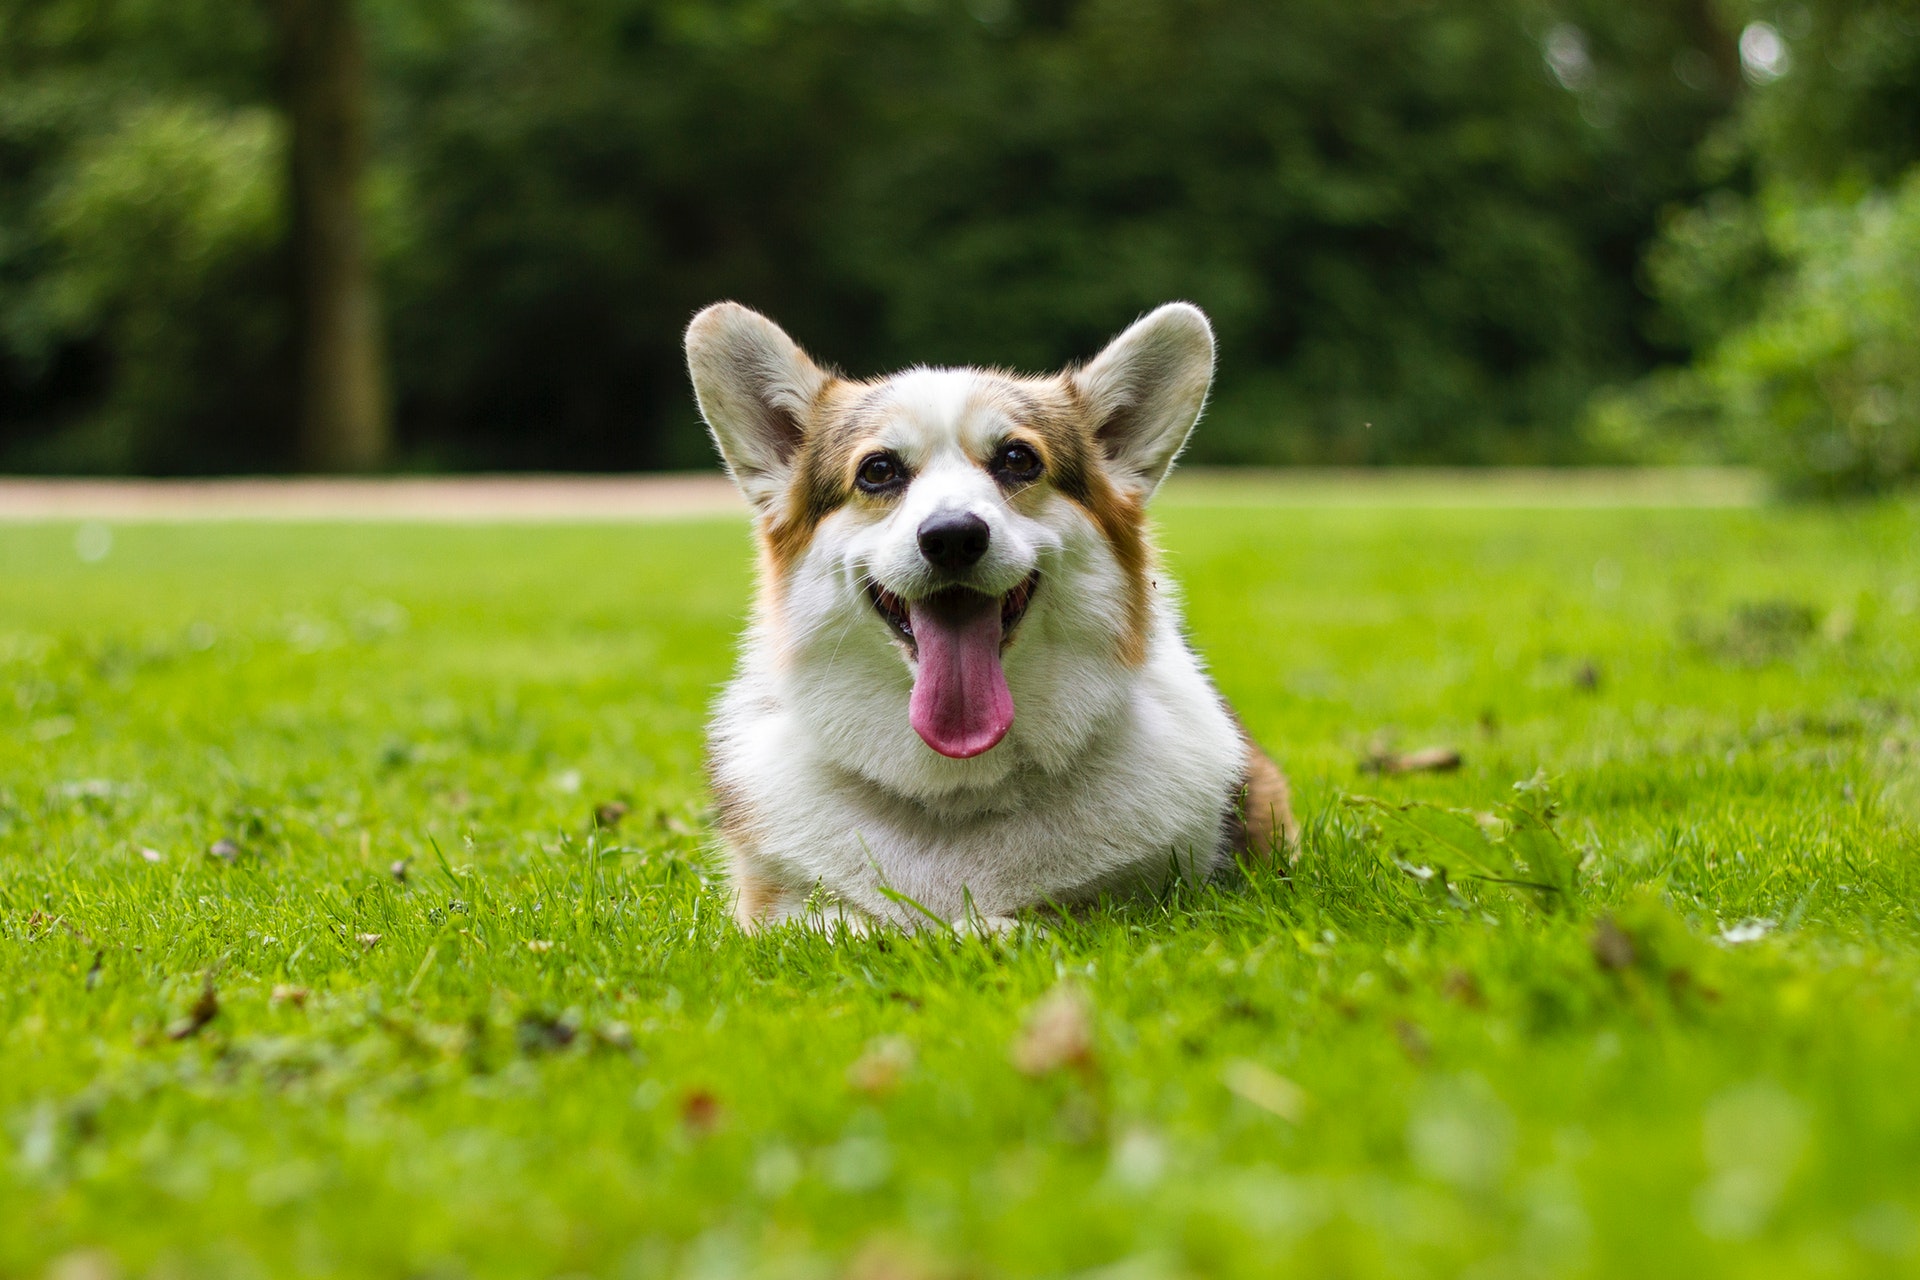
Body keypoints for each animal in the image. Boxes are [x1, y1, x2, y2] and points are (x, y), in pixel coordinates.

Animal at [683, 305, 1297, 936]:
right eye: (878, 470)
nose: (953, 537)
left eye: (1017, 459)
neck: (959, 788)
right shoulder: (775, 912)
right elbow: (842, 924)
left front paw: (983, 931)